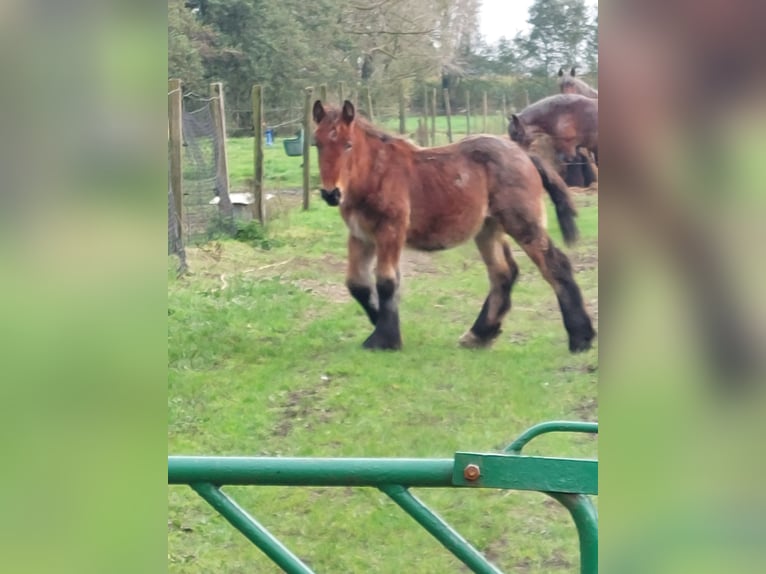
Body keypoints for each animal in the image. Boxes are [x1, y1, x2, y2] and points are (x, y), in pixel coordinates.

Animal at [316, 102, 596, 356]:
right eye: (317, 144)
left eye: (348, 144)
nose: (331, 194)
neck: (377, 173)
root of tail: (525, 154)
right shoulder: (360, 236)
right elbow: (357, 284)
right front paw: (381, 323)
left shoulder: (390, 231)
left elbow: (386, 281)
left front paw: (385, 338)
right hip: (488, 229)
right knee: (503, 273)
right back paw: (479, 335)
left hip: (523, 224)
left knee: (555, 266)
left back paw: (581, 337)